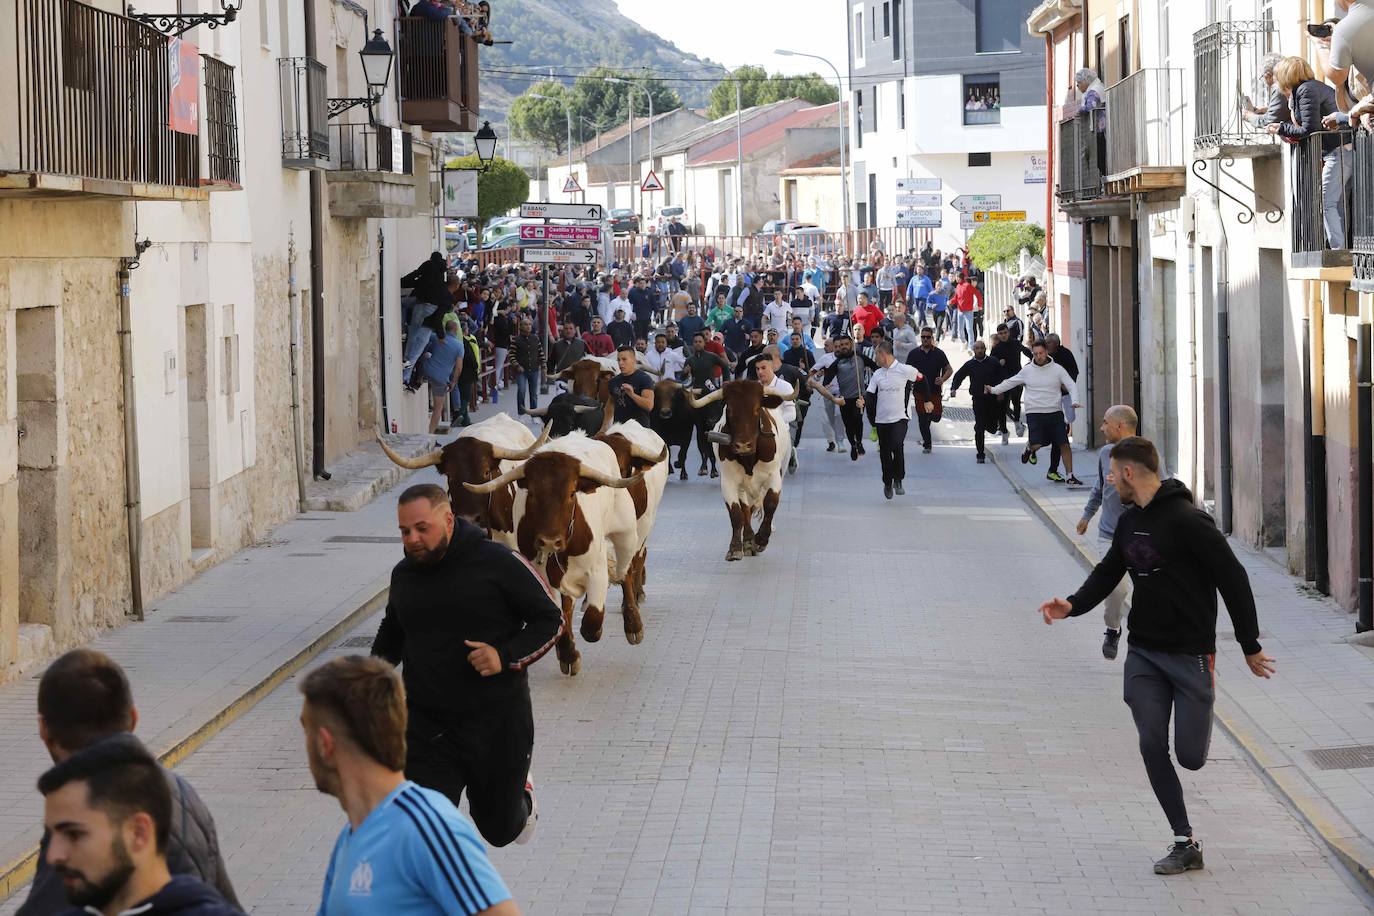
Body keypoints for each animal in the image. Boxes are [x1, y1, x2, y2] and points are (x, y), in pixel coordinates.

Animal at [464, 433, 645, 678]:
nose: (550, 541)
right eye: (531, 493)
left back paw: (633, 625)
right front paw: (568, 655)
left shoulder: (596, 571)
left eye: (571, 493)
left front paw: (589, 633)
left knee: (625, 571)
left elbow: (592, 622)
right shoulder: (542, 578)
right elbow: (560, 615)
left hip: (626, 533)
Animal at [684, 379, 796, 563]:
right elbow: (737, 513)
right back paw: (749, 541)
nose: (743, 445)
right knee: (746, 510)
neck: (748, 459)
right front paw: (736, 548)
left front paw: (761, 539)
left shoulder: (774, 476)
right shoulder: (728, 481)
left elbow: (770, 504)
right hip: (743, 487)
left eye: (757, 409)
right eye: (729, 409)